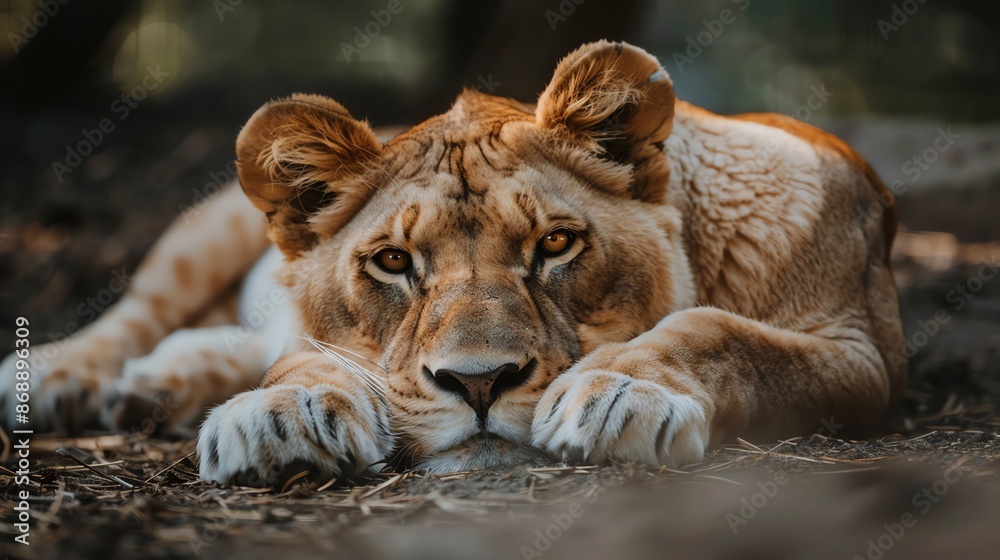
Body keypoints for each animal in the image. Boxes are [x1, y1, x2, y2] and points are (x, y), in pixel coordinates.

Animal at [0, 41, 904, 484]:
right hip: (203, 232)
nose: (479, 384)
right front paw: (280, 419)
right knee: (138, 314)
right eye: (395, 261)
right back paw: (60, 379)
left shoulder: (864, 357)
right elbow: (301, 361)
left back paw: (159, 382)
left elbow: (720, 333)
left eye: (555, 245)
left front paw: (618, 395)